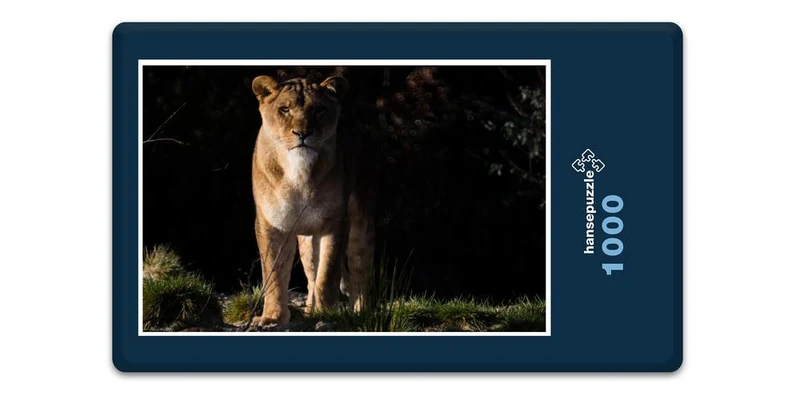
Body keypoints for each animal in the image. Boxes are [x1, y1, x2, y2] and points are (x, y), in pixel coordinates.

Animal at [250, 75, 375, 326]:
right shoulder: (271, 224)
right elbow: (274, 274)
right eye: (284, 109)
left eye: (319, 110)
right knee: (310, 274)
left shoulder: (334, 223)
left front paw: (325, 314)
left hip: (361, 221)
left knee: (359, 268)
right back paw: (308, 311)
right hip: (306, 239)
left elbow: (327, 274)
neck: (297, 172)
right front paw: (272, 317)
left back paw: (359, 312)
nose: (303, 133)